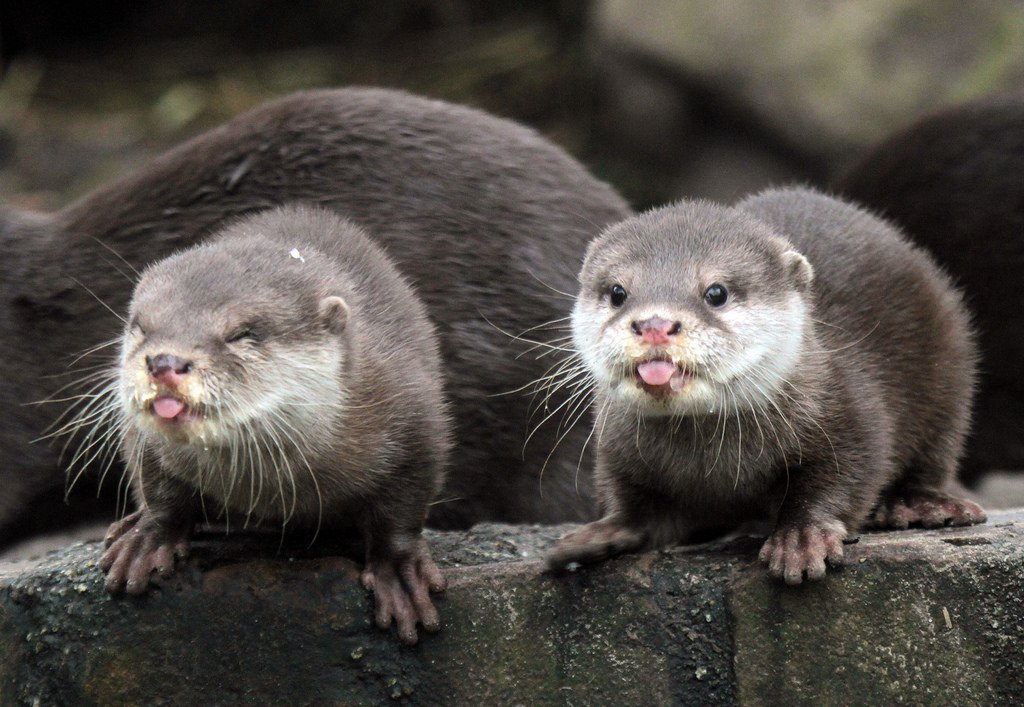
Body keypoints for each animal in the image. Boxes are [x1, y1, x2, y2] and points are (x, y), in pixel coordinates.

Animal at [98, 204, 448, 643]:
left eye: (242, 333)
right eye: (141, 326)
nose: (165, 362)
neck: (269, 487)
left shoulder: (414, 412)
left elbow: (404, 505)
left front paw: (400, 575)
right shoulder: (144, 439)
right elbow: (158, 485)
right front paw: (147, 539)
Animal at [548, 184, 987, 581]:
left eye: (716, 292)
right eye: (618, 292)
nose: (655, 324)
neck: (714, 465)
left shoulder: (852, 409)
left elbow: (847, 472)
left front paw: (801, 538)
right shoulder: (616, 444)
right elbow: (632, 503)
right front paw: (597, 536)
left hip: (950, 364)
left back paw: (921, 506)